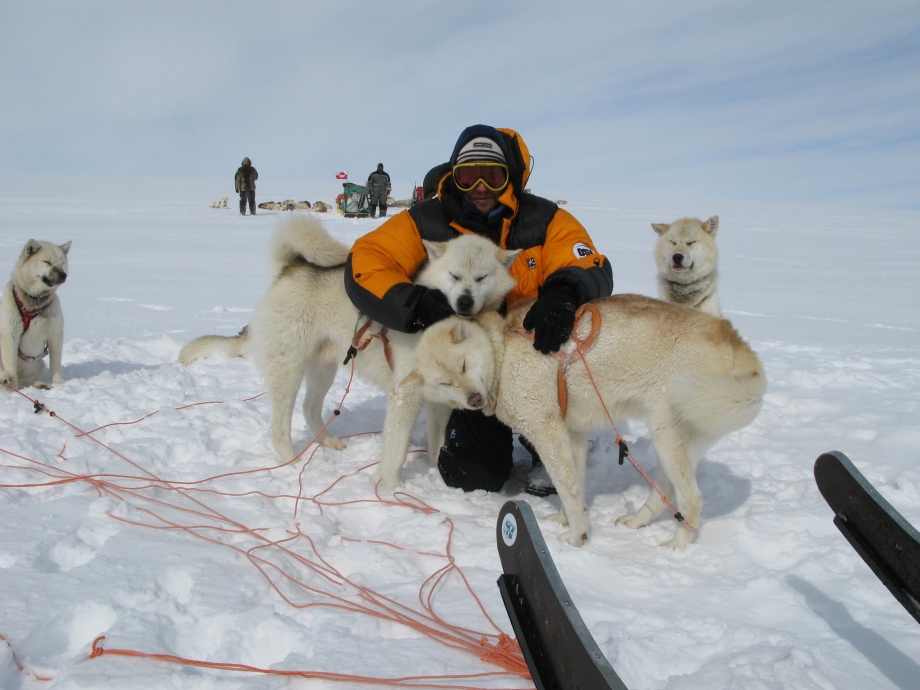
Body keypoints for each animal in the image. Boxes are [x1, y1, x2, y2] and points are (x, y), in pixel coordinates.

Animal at [0, 238, 71, 388]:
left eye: (62, 263)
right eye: (47, 262)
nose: (63, 275)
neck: (35, 301)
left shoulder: (55, 334)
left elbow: (56, 363)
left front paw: (58, 384)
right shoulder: (10, 335)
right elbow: (11, 368)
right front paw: (13, 390)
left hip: (39, 365)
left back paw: (40, 385)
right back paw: (4, 379)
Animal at [177, 214, 520, 462]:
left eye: (481, 278)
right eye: (454, 276)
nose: (464, 301)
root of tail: (292, 268)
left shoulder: (439, 404)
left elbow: (437, 449)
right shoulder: (405, 395)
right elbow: (396, 449)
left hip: (324, 368)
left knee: (310, 409)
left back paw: (328, 442)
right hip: (289, 370)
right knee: (281, 425)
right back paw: (291, 461)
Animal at [384, 296, 764, 548]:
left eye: (463, 366)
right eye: (445, 382)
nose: (474, 400)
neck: (502, 354)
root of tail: (734, 341)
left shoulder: (548, 433)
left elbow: (566, 488)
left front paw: (578, 536)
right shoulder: (573, 436)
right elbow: (575, 488)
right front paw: (568, 521)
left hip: (667, 436)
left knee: (692, 498)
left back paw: (678, 545)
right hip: (674, 442)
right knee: (667, 491)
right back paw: (638, 521)